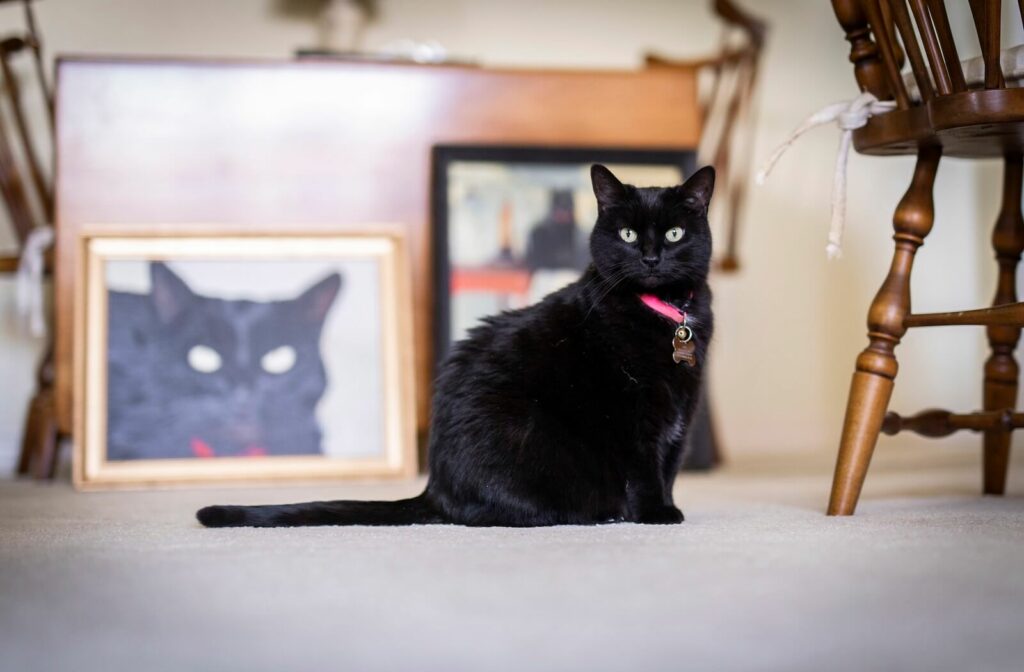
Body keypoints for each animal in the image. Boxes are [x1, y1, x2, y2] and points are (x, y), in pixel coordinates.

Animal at [197, 162, 712, 524]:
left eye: (674, 234)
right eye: (627, 233)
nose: (650, 258)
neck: (668, 315)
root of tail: (435, 488)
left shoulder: (682, 410)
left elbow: (669, 465)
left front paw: (665, 506)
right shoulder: (633, 413)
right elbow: (645, 467)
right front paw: (655, 515)